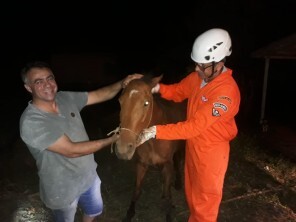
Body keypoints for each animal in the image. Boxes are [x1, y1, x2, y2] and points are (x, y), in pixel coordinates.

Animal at [114, 75, 186, 222]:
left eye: (146, 103)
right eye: (120, 101)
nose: (123, 149)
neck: (153, 141)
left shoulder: (167, 165)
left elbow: (167, 192)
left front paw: (168, 212)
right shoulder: (142, 164)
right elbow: (137, 190)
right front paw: (129, 213)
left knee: (179, 161)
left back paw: (178, 183)